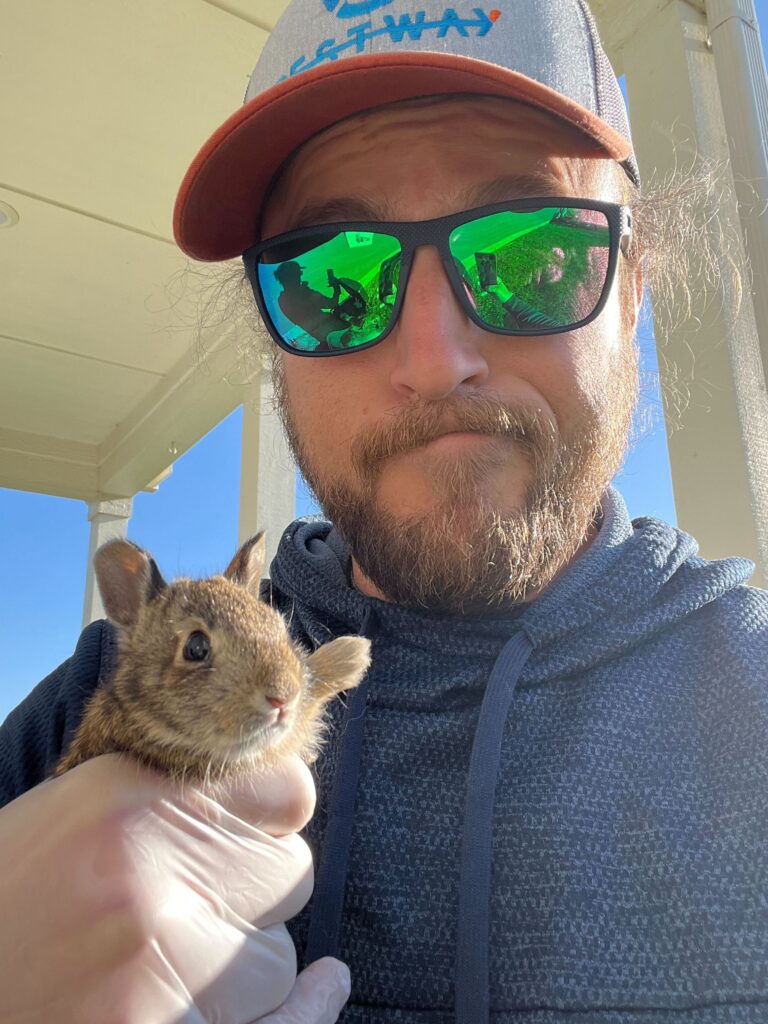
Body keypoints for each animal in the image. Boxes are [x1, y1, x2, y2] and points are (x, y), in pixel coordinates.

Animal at [54, 532, 371, 788]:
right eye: (196, 647)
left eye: (281, 629)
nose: (282, 698)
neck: (139, 717)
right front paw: (355, 653)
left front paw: (353, 653)